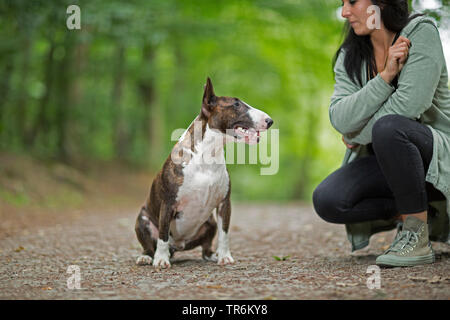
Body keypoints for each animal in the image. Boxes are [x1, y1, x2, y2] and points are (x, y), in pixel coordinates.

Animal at [135, 77, 272, 268]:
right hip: (142, 219)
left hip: (209, 223)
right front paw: (161, 260)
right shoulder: (168, 203)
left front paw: (225, 257)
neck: (208, 155)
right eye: (236, 104)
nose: (270, 121)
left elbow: (224, 233)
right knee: (150, 244)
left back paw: (212, 255)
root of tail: (177, 246)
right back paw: (149, 257)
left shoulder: (224, 203)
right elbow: (162, 234)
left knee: (205, 248)